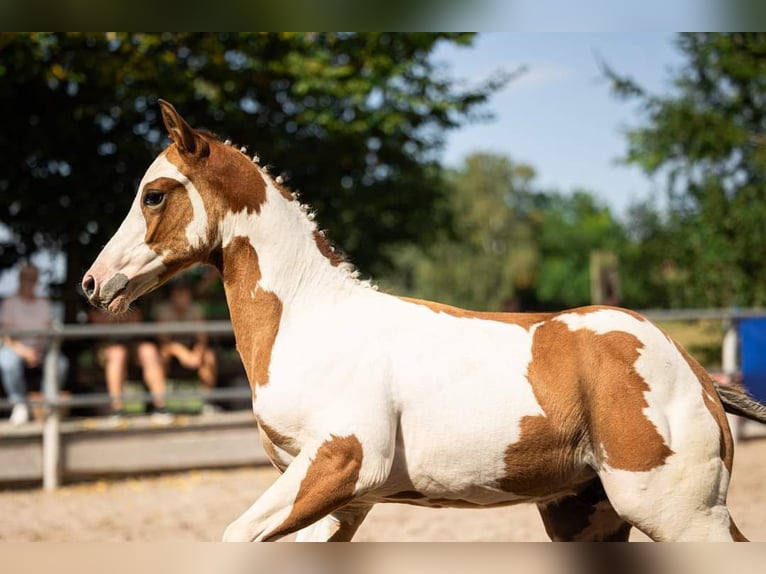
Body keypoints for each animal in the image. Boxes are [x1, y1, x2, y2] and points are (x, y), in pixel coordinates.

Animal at [84, 100, 766, 544]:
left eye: (153, 194)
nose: (94, 284)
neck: (310, 322)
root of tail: (692, 368)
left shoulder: (342, 462)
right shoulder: (341, 503)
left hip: (677, 510)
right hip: (587, 516)